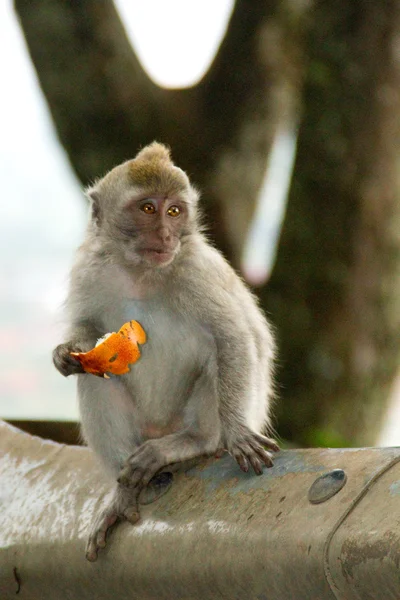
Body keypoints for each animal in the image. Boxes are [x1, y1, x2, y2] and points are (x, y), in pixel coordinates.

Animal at [53, 143, 278, 560]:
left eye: (174, 211)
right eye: (147, 208)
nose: (165, 234)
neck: (140, 271)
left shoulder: (196, 271)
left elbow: (235, 336)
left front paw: (238, 432)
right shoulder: (89, 267)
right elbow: (88, 329)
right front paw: (65, 351)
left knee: (217, 362)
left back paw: (195, 441)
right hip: (141, 430)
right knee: (95, 376)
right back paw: (124, 492)